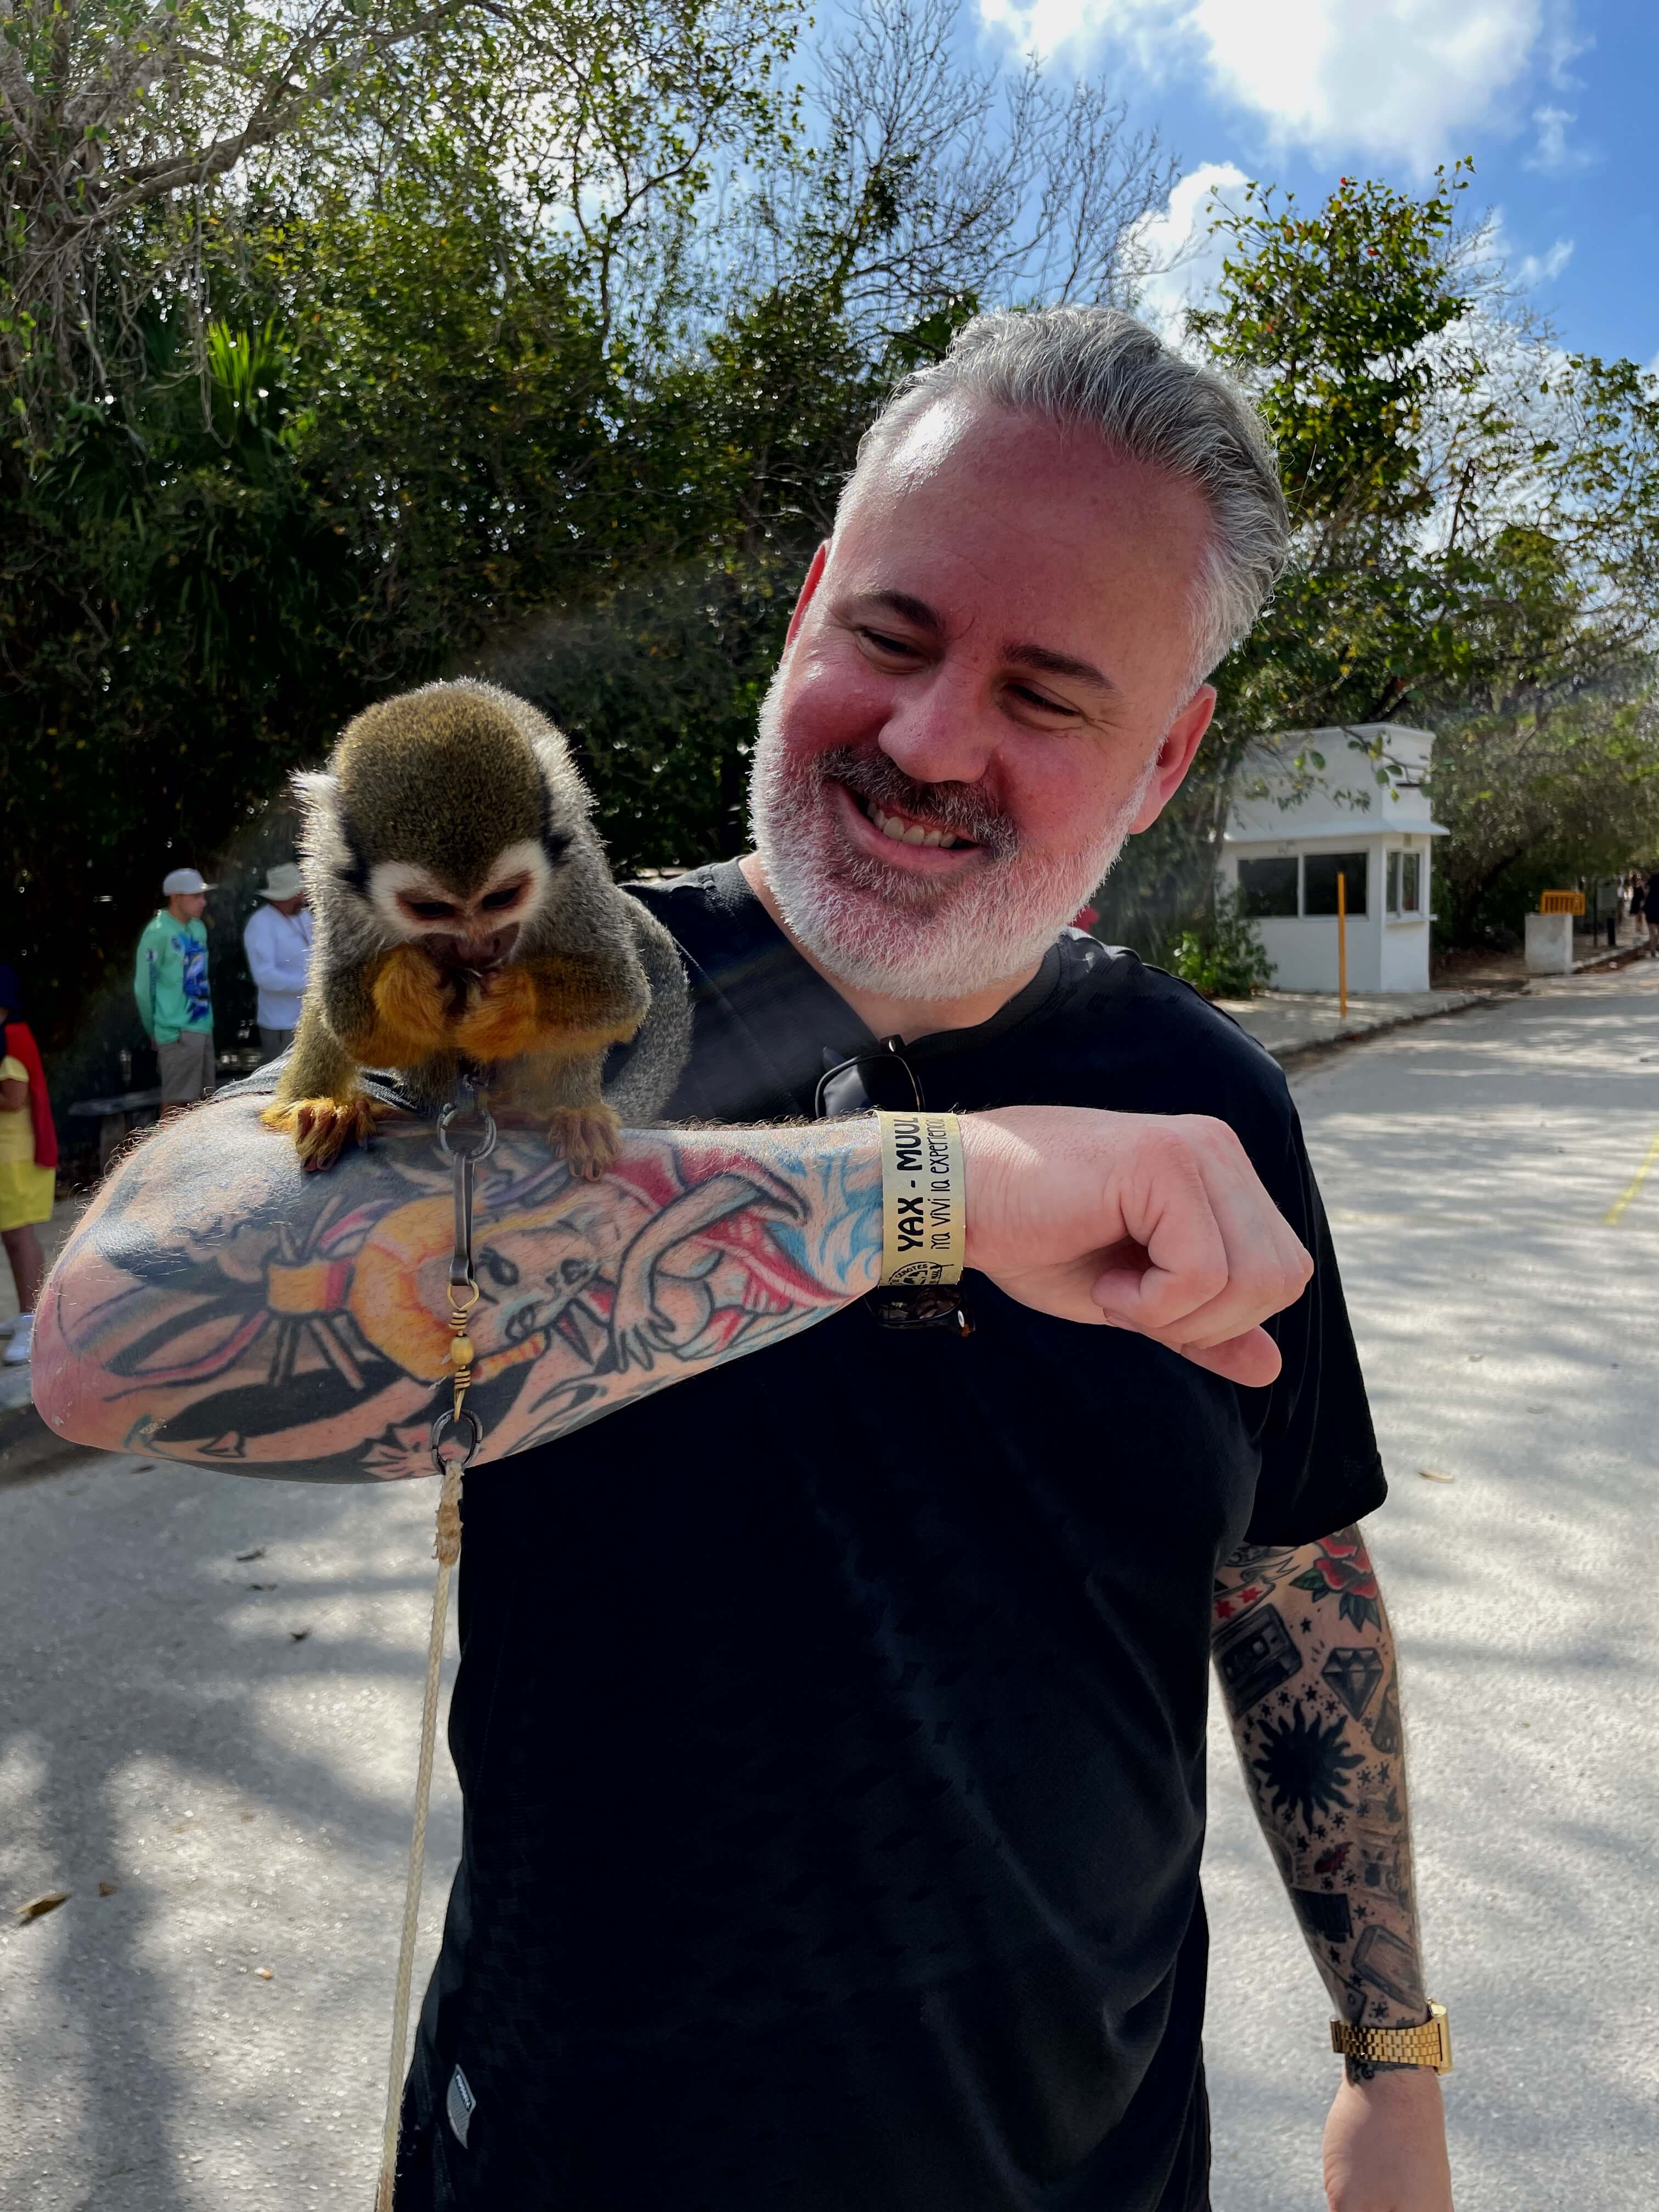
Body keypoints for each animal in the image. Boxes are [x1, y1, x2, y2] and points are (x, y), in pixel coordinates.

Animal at [260, 679, 691, 1177]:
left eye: (501, 899)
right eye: (430, 908)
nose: (478, 947)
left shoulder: (576, 869)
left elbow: (619, 994)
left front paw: (512, 1002)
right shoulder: (333, 881)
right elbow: (350, 1020)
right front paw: (407, 986)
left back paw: (570, 1109)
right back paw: (320, 1106)